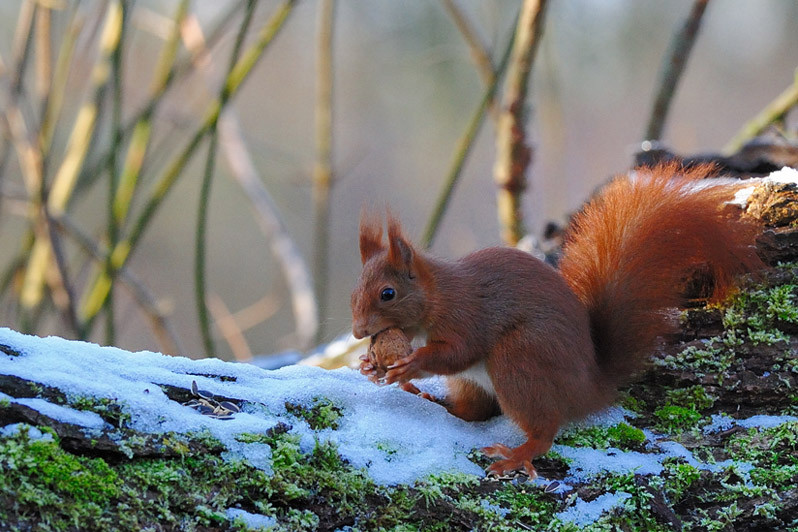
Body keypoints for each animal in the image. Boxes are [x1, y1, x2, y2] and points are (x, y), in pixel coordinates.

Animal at [350, 162, 763, 478]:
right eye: (354, 290)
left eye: (388, 294)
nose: (357, 332)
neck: (433, 300)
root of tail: (591, 388)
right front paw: (370, 365)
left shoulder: (466, 315)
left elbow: (458, 352)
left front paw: (411, 364)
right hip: (476, 382)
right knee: (473, 411)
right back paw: (429, 399)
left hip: (519, 358)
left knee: (543, 430)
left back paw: (518, 454)